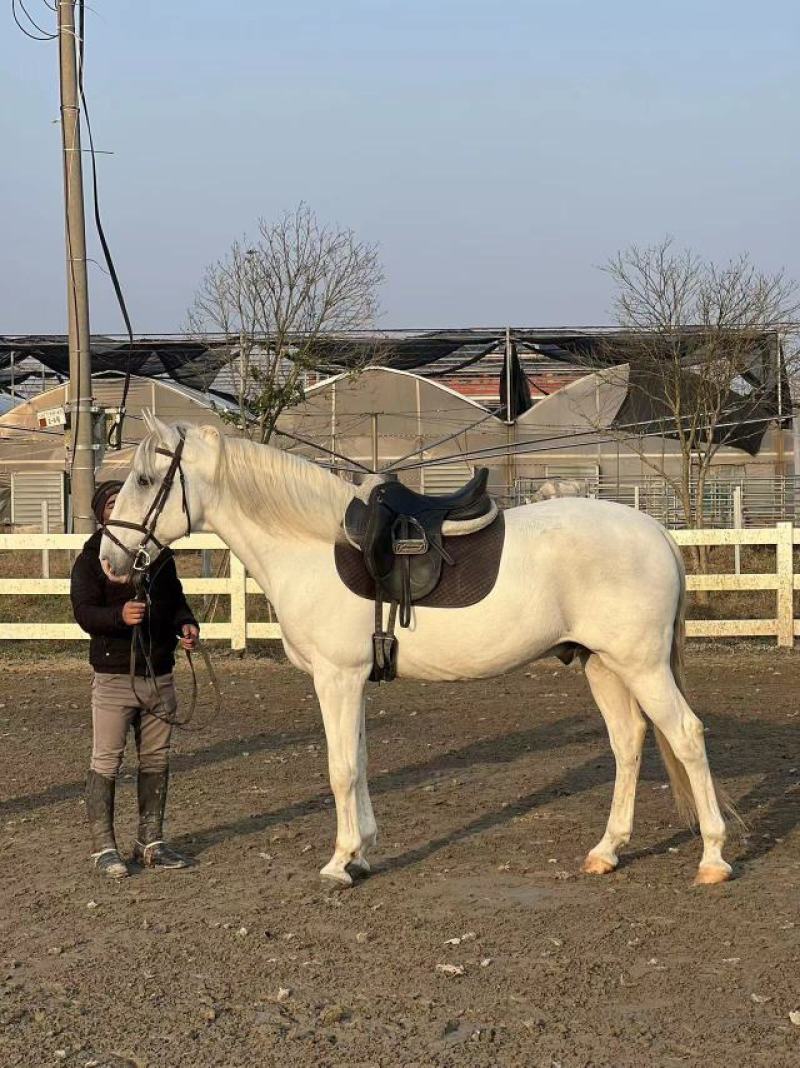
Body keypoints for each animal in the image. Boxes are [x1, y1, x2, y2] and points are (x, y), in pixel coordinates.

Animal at [99, 415, 734, 888]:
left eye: (145, 479)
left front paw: (339, 864)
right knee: (628, 743)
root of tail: (657, 535)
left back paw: (713, 858)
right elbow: (358, 763)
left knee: (685, 735)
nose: (109, 560)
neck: (311, 543)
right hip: (602, 664)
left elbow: (340, 769)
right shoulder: (352, 680)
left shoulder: (336, 678)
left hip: (642, 666)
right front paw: (362, 852)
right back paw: (607, 851)